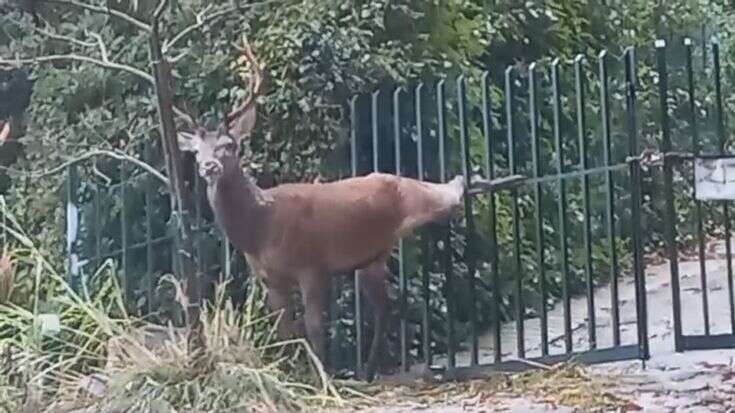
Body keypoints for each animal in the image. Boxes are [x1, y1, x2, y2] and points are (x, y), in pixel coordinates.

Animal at [175, 37, 468, 378]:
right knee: (384, 308)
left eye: (228, 146)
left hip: (416, 196)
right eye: (196, 152)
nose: (208, 166)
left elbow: (315, 327)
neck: (261, 229)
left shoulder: (312, 265)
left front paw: (321, 376)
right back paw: (368, 368)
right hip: (372, 258)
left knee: (448, 193)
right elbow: (284, 330)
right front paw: (286, 373)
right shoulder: (269, 279)